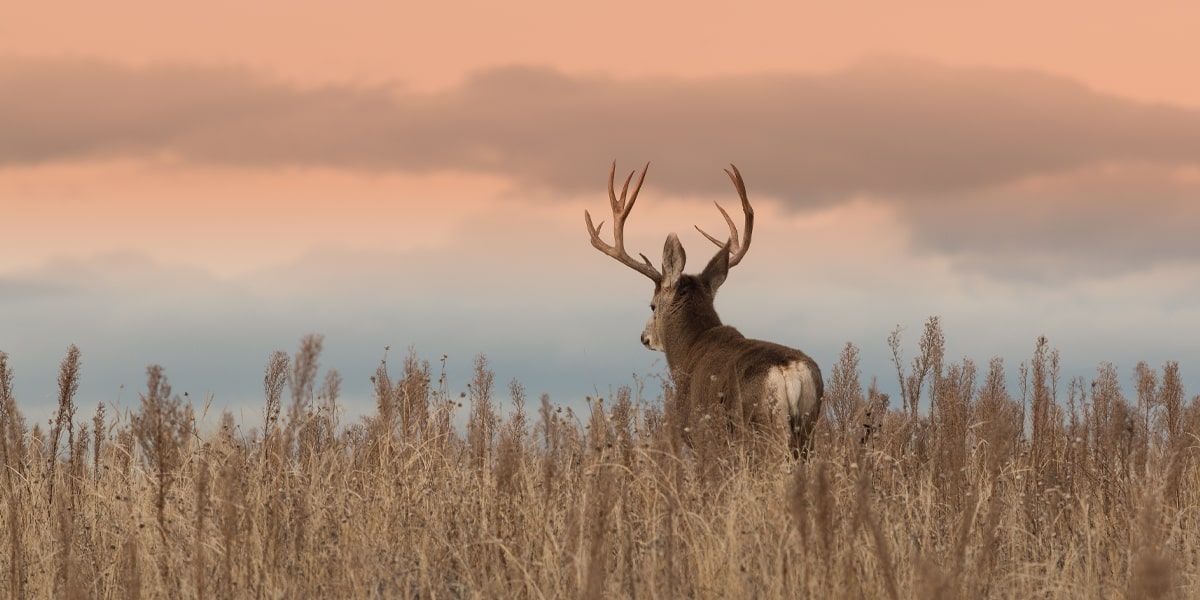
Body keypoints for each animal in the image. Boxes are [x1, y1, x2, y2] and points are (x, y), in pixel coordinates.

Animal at [585, 162, 824, 458]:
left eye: (652, 305)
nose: (644, 337)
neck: (687, 350)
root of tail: (792, 371)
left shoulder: (698, 433)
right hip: (808, 426)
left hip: (765, 426)